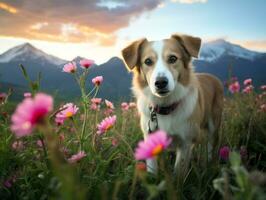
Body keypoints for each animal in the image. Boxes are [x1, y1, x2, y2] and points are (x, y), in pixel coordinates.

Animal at [121, 34, 223, 173]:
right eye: (148, 61)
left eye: (173, 58)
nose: (160, 82)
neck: (165, 107)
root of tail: (212, 76)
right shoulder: (150, 138)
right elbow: (152, 169)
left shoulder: (186, 143)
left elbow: (179, 172)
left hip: (214, 124)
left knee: (211, 145)